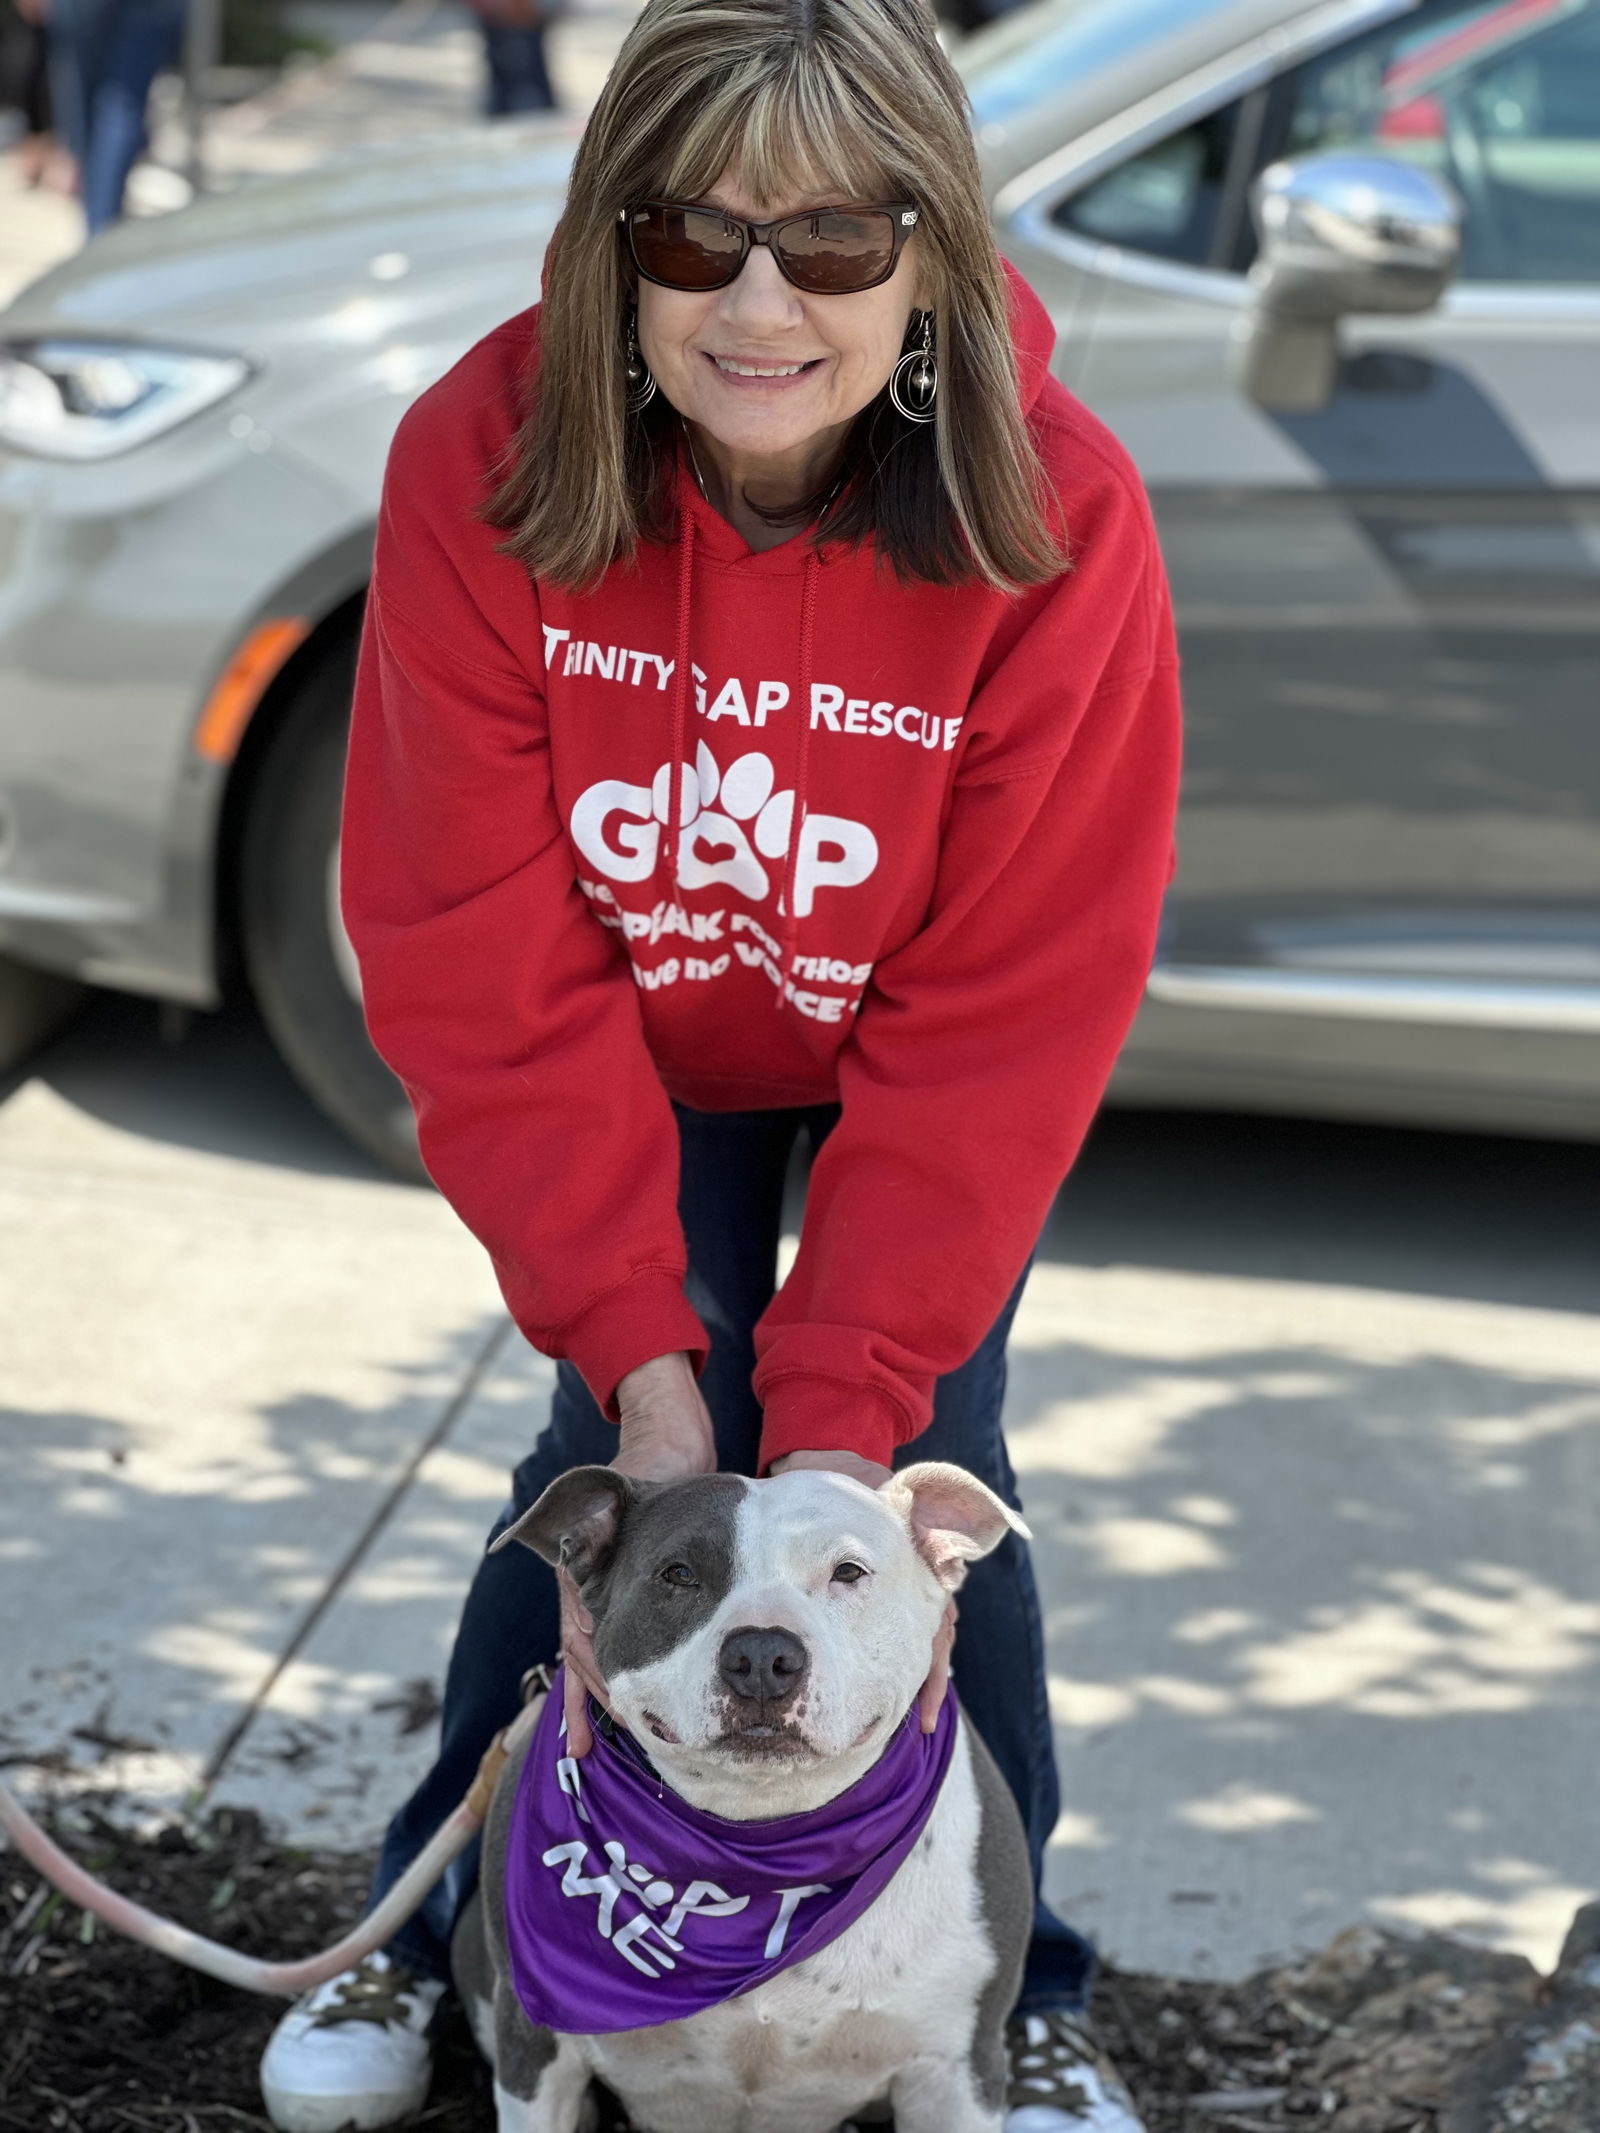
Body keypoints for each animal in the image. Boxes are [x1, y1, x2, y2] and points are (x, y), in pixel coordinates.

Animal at [452, 1458, 1041, 2133]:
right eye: (679, 1574)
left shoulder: (954, 2071)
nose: (762, 1655)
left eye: (848, 1572)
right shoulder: (534, 2048)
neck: (763, 1846)